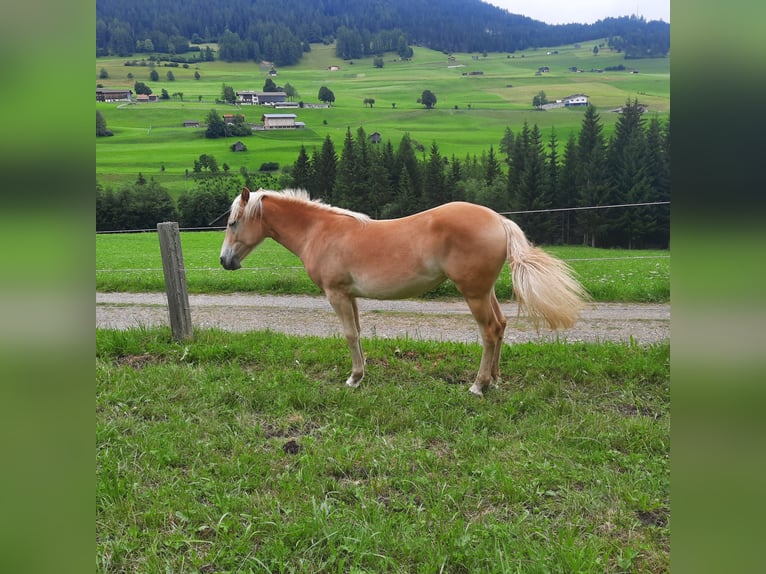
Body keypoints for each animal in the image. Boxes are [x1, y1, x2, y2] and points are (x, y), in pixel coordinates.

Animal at [219, 189, 592, 396]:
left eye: (233, 223)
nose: (225, 261)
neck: (321, 231)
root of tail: (499, 220)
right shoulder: (350, 296)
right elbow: (358, 333)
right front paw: (361, 375)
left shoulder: (336, 294)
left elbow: (349, 334)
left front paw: (353, 379)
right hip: (486, 292)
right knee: (501, 326)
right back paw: (495, 380)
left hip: (473, 294)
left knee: (489, 331)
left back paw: (478, 385)